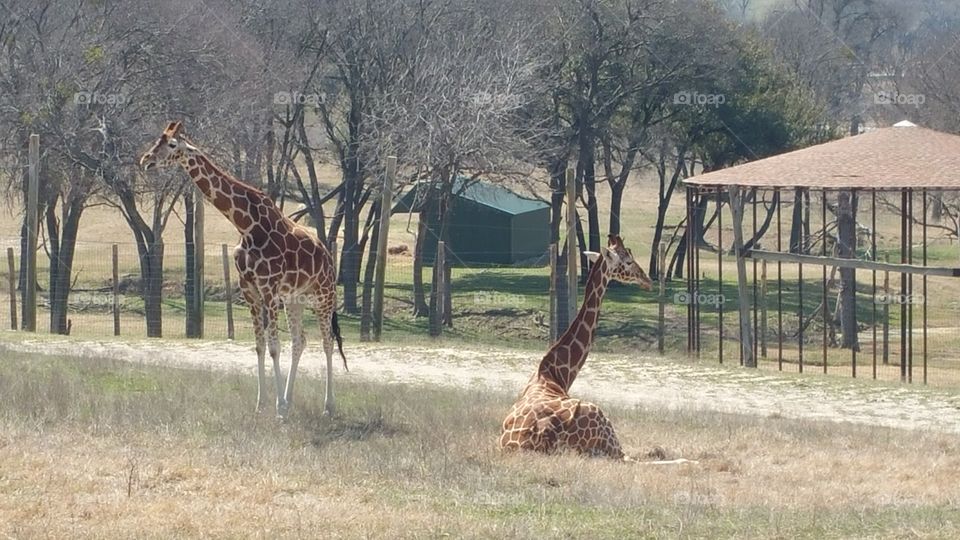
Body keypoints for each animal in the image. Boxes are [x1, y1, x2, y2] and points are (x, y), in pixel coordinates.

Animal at [139, 121, 345, 418]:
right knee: (300, 341)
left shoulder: (269, 288)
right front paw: (263, 405)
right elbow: (259, 346)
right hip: (294, 299)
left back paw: (328, 406)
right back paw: (291, 398)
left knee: (328, 341)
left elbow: (274, 347)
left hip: (324, 296)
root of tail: (328, 256)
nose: (146, 160)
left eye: (172, 144)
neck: (245, 225)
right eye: (157, 141)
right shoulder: (249, 289)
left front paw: (278, 409)